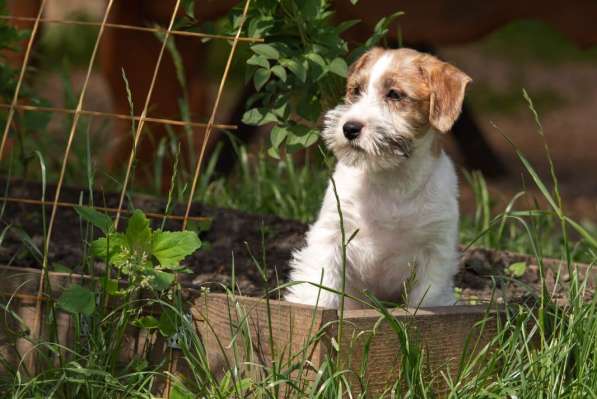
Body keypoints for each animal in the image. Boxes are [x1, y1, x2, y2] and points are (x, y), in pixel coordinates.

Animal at [284, 47, 470, 310]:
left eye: (394, 94)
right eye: (355, 90)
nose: (349, 128)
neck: (391, 178)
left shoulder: (436, 250)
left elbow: (427, 298)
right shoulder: (331, 234)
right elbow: (321, 286)